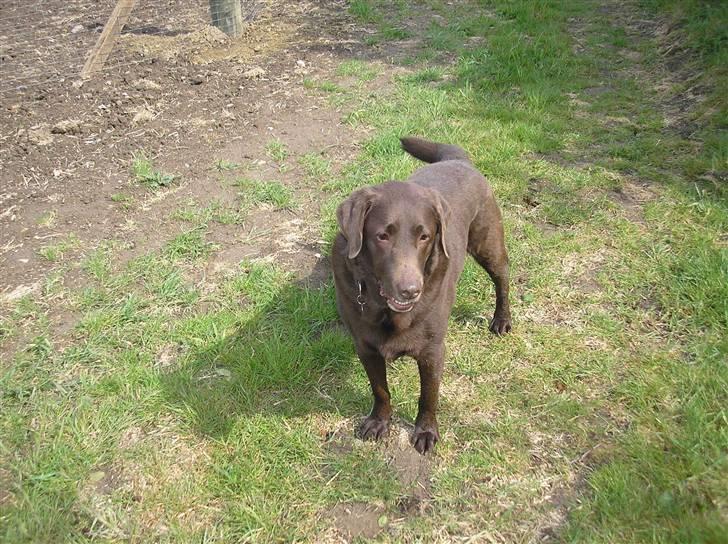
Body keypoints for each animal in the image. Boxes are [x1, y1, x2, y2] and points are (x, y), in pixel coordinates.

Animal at [332, 136, 510, 454]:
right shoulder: (365, 346)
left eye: (424, 236)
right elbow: (380, 390)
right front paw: (379, 422)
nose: (411, 290)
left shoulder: (432, 351)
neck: (386, 309)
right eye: (382, 236)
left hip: (488, 243)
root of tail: (458, 160)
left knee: (503, 277)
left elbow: (429, 396)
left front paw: (426, 431)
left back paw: (502, 319)